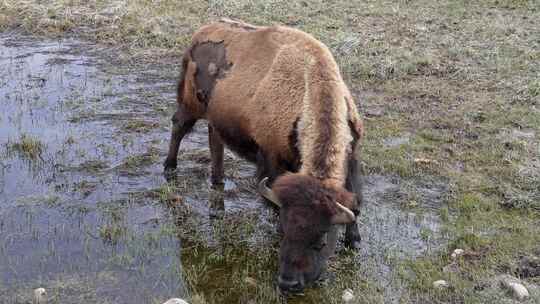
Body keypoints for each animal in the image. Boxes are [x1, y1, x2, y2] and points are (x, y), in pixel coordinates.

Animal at [165, 18, 364, 292]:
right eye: (286, 231)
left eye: (322, 239)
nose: (288, 283)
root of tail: (201, 31)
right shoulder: (271, 161)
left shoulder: (352, 157)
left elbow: (355, 200)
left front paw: (354, 241)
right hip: (190, 105)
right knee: (178, 127)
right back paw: (169, 168)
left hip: (215, 119)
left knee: (214, 144)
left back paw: (217, 182)